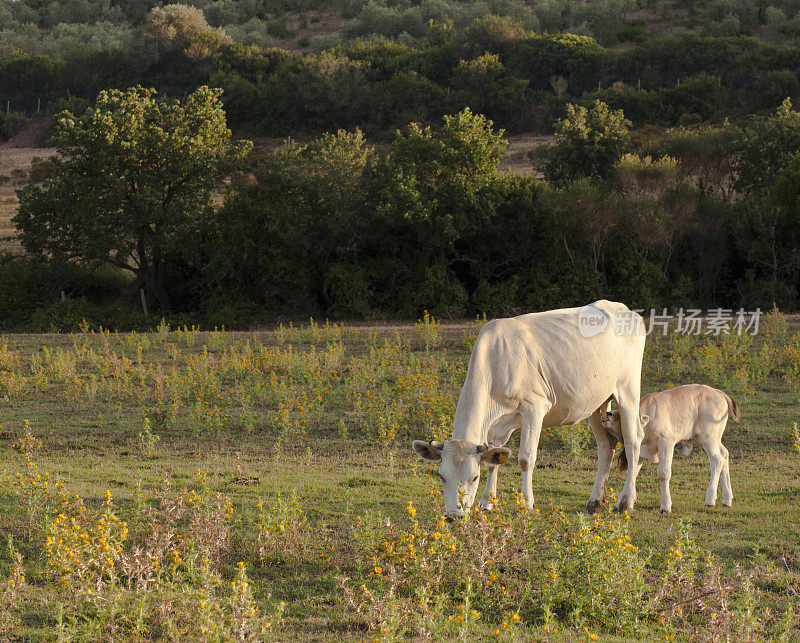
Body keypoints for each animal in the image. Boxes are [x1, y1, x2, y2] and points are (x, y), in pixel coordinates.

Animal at [412, 300, 644, 520]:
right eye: (441, 476)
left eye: (473, 478)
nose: (455, 516)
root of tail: (625, 310)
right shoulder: (496, 426)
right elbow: (493, 461)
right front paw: (487, 503)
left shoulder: (535, 408)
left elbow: (526, 459)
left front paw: (526, 505)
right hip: (597, 402)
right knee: (605, 448)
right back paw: (595, 501)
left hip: (628, 390)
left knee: (633, 441)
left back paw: (625, 502)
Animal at [596, 384, 740, 516]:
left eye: (621, 415)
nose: (608, 414)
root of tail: (718, 392)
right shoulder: (639, 453)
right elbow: (632, 473)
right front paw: (619, 503)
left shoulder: (666, 442)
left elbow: (663, 473)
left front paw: (665, 506)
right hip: (715, 440)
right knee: (724, 454)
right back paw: (727, 499)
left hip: (708, 438)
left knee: (717, 460)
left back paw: (710, 500)